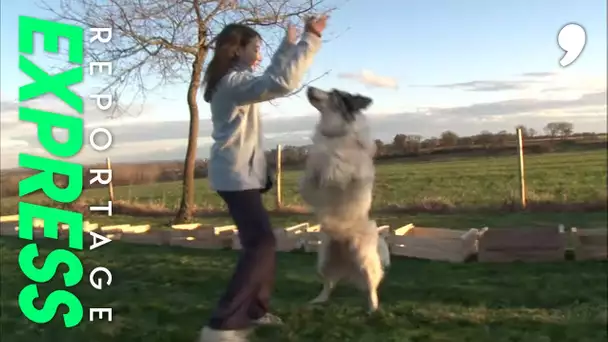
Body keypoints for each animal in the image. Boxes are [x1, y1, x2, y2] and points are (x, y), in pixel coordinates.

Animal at [298, 86, 390, 312]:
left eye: (334, 93)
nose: (309, 87)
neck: (334, 134)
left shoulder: (348, 165)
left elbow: (339, 164)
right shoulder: (312, 171)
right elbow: (310, 176)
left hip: (365, 260)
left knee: (372, 286)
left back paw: (373, 308)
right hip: (324, 260)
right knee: (329, 284)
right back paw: (318, 300)